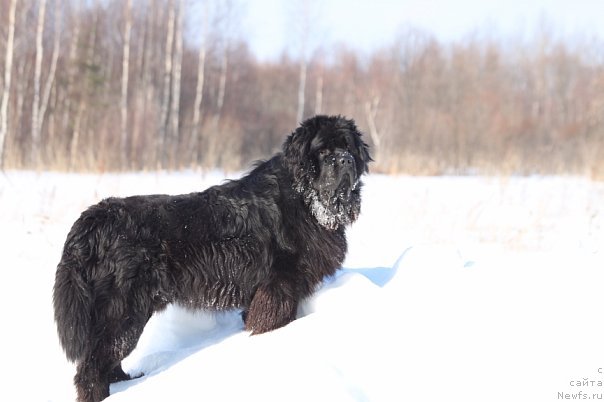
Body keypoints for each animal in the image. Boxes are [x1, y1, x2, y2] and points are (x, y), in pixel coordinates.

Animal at [53, 114, 372, 400]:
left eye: (348, 147)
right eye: (323, 151)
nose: (345, 160)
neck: (307, 200)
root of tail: (94, 218)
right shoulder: (279, 285)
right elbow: (273, 319)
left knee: (109, 360)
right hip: (122, 311)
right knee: (93, 367)